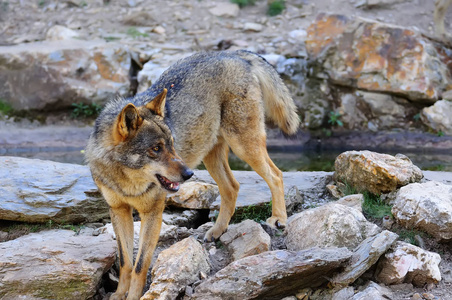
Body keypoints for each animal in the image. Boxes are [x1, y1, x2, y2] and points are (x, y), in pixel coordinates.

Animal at [86, 49, 300, 300]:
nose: (189, 173)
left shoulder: (153, 214)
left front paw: (133, 297)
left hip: (244, 147)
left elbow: (140, 265)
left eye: (171, 144)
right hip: (212, 156)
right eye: (156, 148)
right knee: (233, 187)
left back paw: (278, 219)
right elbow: (125, 262)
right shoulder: (119, 211)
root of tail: (232, 53)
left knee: (276, 175)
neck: (127, 181)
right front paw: (119, 295)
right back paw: (217, 231)